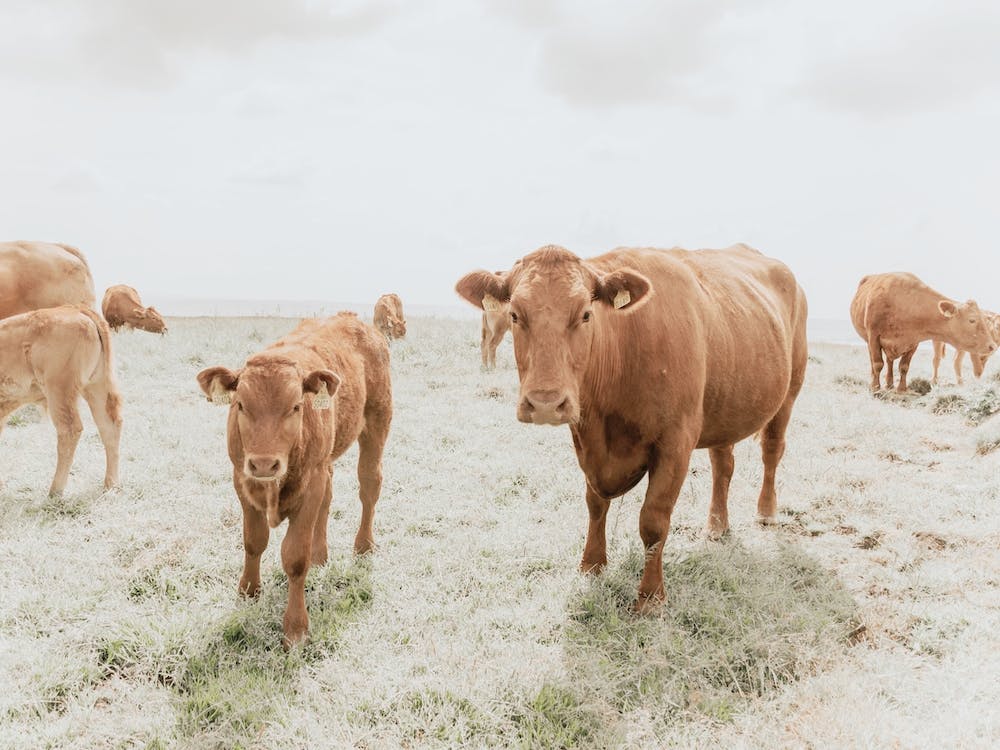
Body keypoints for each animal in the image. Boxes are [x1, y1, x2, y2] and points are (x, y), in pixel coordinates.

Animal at [0, 306, 122, 496]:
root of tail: (76, 309)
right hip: (96, 386)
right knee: (109, 425)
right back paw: (111, 484)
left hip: (59, 390)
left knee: (70, 429)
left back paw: (55, 490)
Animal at [196, 312, 392, 647]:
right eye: (240, 405)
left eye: (296, 406)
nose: (264, 463)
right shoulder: (241, 479)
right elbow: (254, 541)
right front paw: (248, 591)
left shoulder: (310, 484)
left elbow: (295, 557)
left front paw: (296, 628)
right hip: (326, 460)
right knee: (329, 497)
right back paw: (320, 555)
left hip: (377, 422)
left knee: (369, 485)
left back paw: (364, 545)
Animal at [456, 244, 808, 611]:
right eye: (514, 314)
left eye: (586, 314)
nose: (545, 404)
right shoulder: (587, 443)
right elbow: (595, 504)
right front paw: (591, 564)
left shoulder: (674, 445)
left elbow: (653, 521)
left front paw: (651, 596)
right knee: (722, 465)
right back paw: (716, 526)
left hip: (789, 391)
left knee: (771, 450)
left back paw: (766, 512)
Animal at [850, 273, 997, 394]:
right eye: (972, 320)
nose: (992, 346)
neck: (903, 304)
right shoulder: (874, 337)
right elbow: (877, 364)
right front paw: (875, 388)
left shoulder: (913, 342)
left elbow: (904, 366)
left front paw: (901, 389)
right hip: (869, 341)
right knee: (874, 362)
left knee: (890, 361)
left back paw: (890, 384)